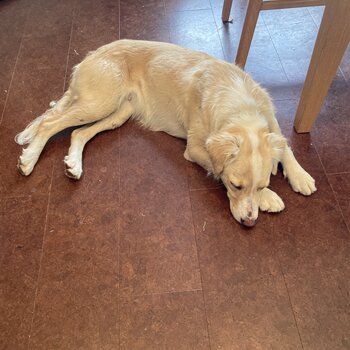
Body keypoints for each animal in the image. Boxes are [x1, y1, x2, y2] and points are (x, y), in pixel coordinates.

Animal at [14, 39, 318, 227]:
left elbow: (285, 146)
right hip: (100, 102)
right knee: (50, 122)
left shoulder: (272, 121)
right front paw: (270, 199)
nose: (249, 221)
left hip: (117, 114)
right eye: (235, 186)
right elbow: (217, 168)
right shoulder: (195, 148)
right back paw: (29, 158)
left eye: (263, 183)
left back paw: (73, 164)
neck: (237, 102)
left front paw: (299, 176)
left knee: (76, 133)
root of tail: (90, 56)